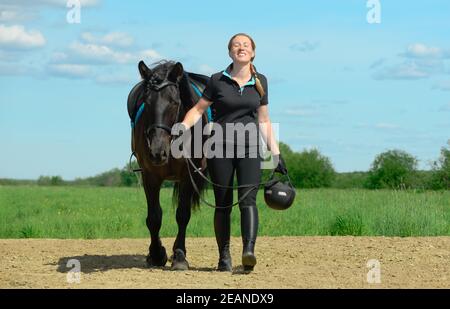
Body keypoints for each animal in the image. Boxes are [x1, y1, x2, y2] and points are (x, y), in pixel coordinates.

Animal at [127, 60, 210, 270]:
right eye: (147, 102)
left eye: (174, 102)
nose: (157, 151)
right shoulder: (150, 175)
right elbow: (154, 217)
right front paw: (157, 254)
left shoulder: (188, 175)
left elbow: (182, 215)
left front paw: (179, 256)